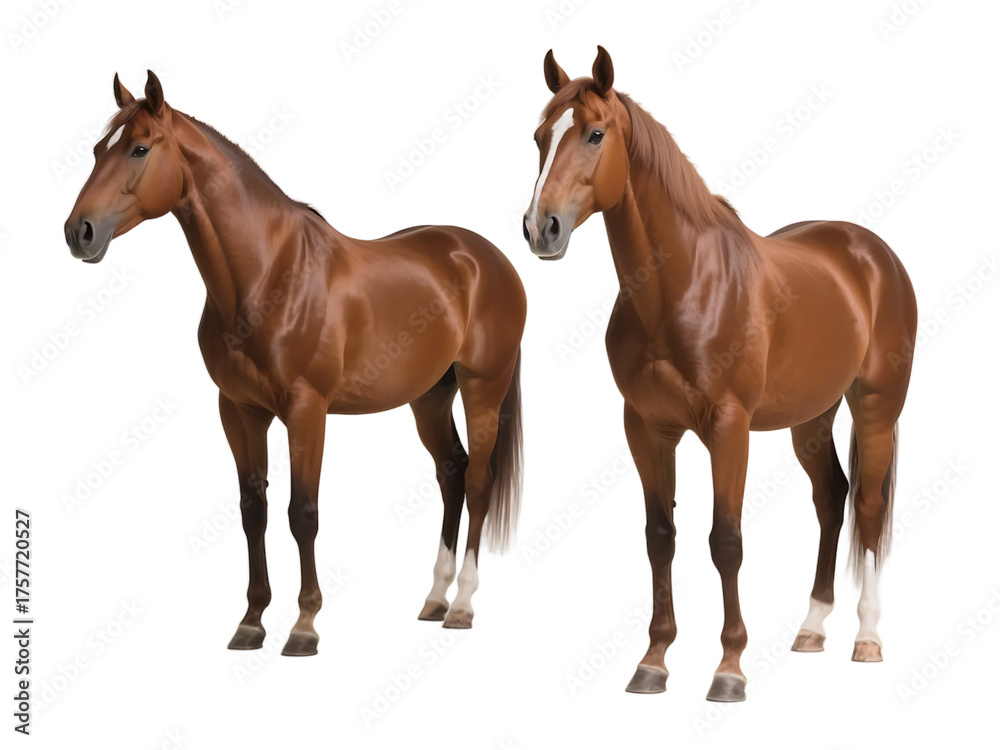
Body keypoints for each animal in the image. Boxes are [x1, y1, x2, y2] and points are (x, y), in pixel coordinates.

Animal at [65, 72, 526, 656]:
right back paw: (434, 598)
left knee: (479, 482)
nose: (78, 232)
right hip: (429, 396)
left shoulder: (307, 411)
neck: (268, 275)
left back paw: (462, 605)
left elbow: (302, 513)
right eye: (98, 150)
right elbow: (253, 512)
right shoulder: (239, 410)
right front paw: (251, 620)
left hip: (482, 387)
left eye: (139, 148)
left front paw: (304, 625)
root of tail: (484, 256)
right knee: (452, 472)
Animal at [523, 48, 916, 701]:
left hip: (876, 408)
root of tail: (871, 253)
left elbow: (725, 541)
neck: (680, 285)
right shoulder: (647, 428)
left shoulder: (728, 428)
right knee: (831, 497)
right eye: (539, 138)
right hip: (811, 416)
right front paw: (653, 662)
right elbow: (660, 537)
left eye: (595, 134)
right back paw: (811, 628)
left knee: (868, 506)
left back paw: (867, 638)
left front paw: (729, 669)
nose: (540, 228)